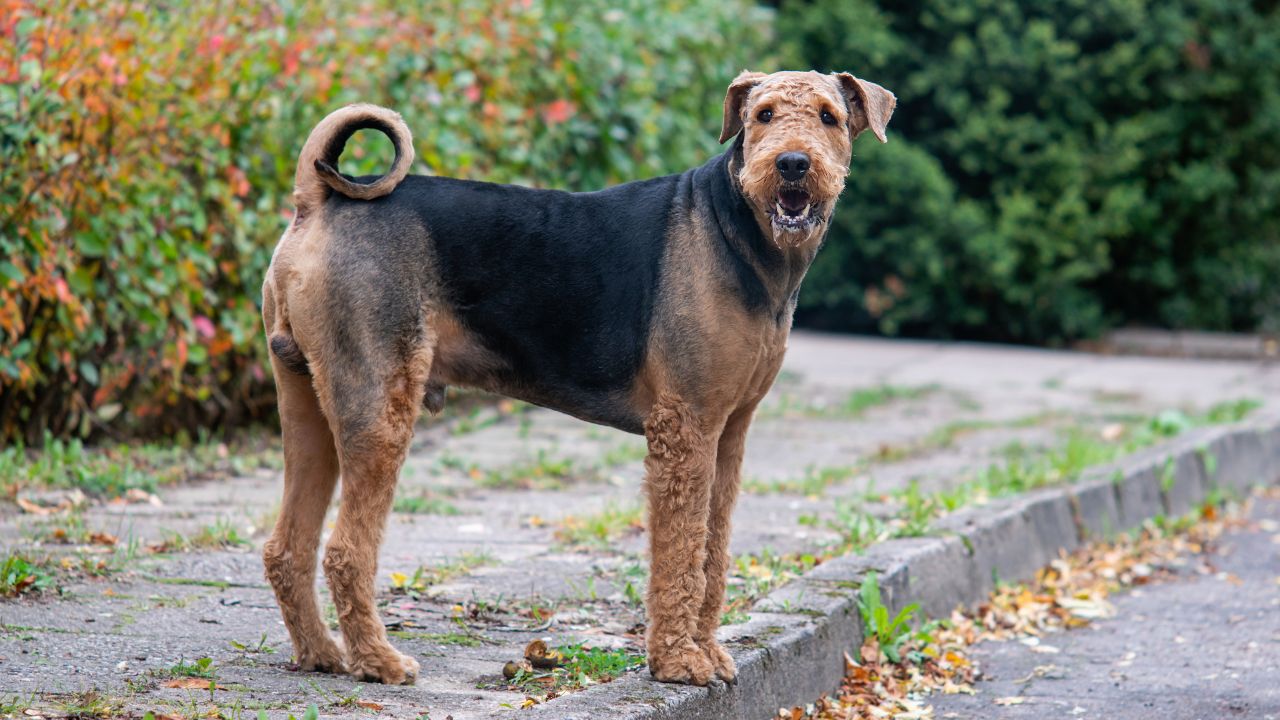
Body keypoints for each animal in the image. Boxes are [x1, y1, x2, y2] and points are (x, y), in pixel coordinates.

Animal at [258, 68, 896, 681]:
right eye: (763, 114)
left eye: (828, 116)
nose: (792, 164)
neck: (741, 235)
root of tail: (317, 199)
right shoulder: (685, 428)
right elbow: (680, 555)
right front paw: (677, 663)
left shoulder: (729, 431)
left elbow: (711, 553)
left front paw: (708, 653)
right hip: (378, 409)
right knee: (344, 551)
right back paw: (379, 663)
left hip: (308, 404)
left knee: (287, 549)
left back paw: (322, 654)